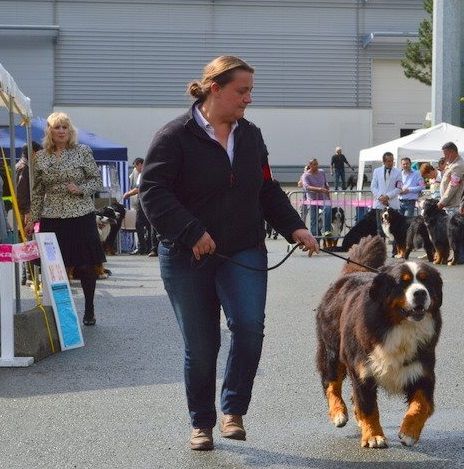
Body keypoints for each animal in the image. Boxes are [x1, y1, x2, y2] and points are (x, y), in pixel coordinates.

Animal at [316, 236, 442, 448]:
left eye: (426, 281)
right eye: (403, 283)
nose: (420, 293)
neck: (399, 328)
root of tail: (353, 273)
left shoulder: (422, 370)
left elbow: (421, 405)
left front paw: (409, 432)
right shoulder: (362, 372)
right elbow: (368, 407)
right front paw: (373, 436)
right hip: (332, 350)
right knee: (331, 383)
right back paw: (338, 413)